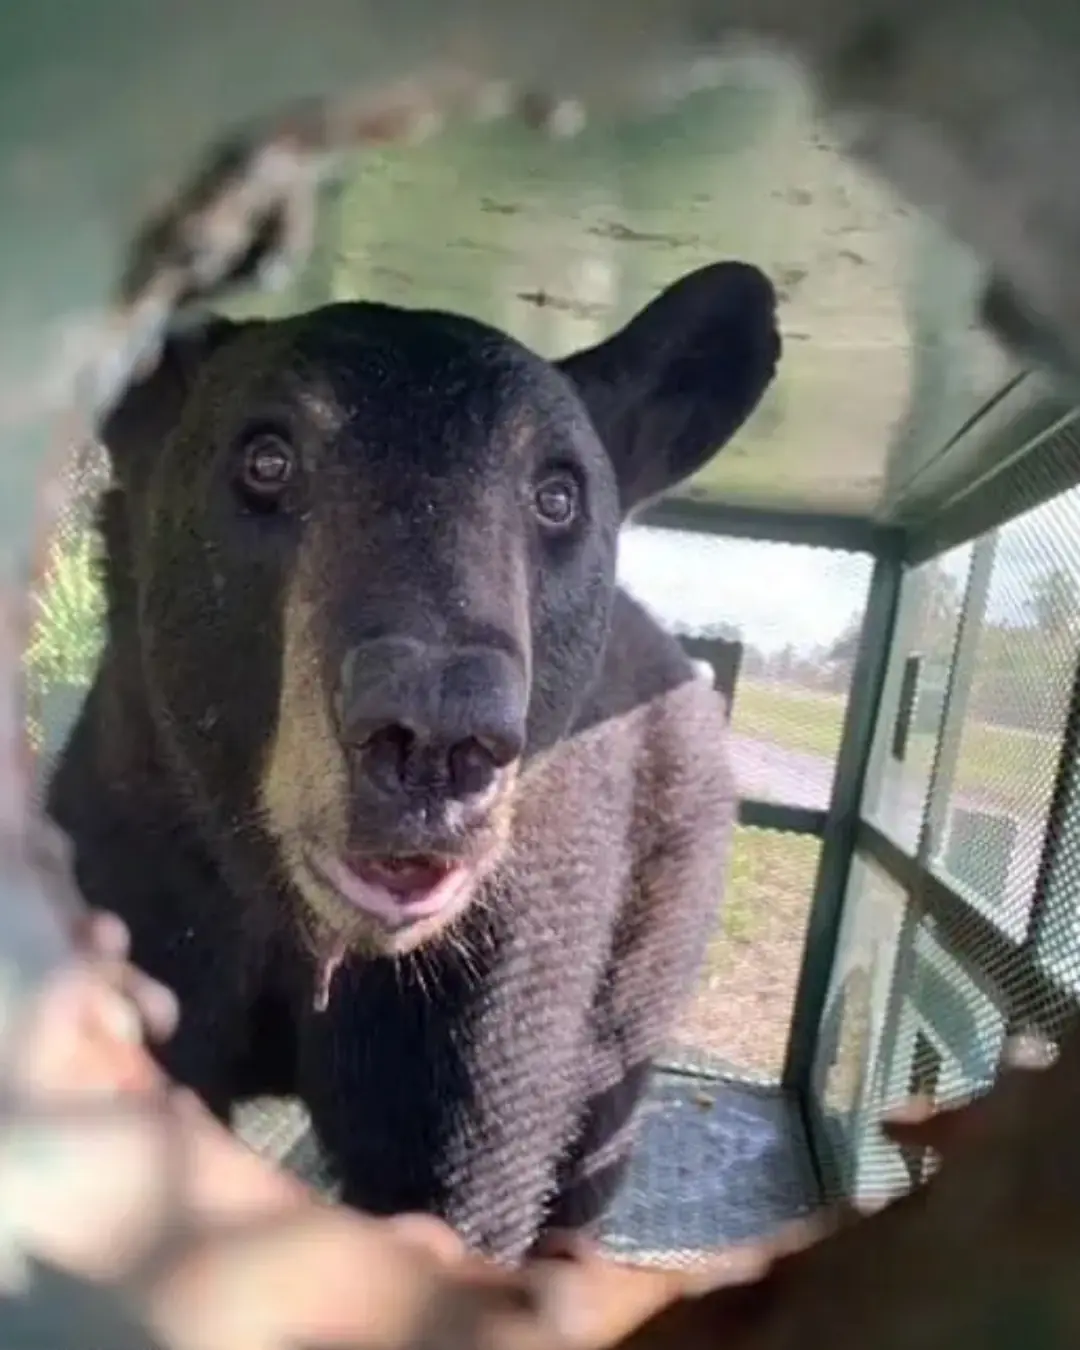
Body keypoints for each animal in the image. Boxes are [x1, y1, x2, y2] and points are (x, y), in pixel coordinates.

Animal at [46, 260, 780, 1259]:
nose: (437, 734)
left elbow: (464, 1178)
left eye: (558, 494)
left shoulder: (501, 958)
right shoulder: (136, 870)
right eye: (266, 458)